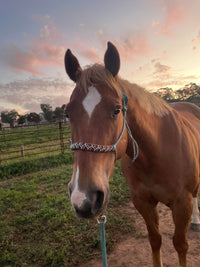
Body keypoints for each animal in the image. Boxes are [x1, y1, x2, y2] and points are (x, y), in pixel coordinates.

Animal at [65, 42, 199, 267]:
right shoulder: (142, 202)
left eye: (117, 109)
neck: (156, 153)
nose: (83, 198)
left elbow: (181, 245)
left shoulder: (182, 204)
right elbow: (155, 240)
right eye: (67, 113)